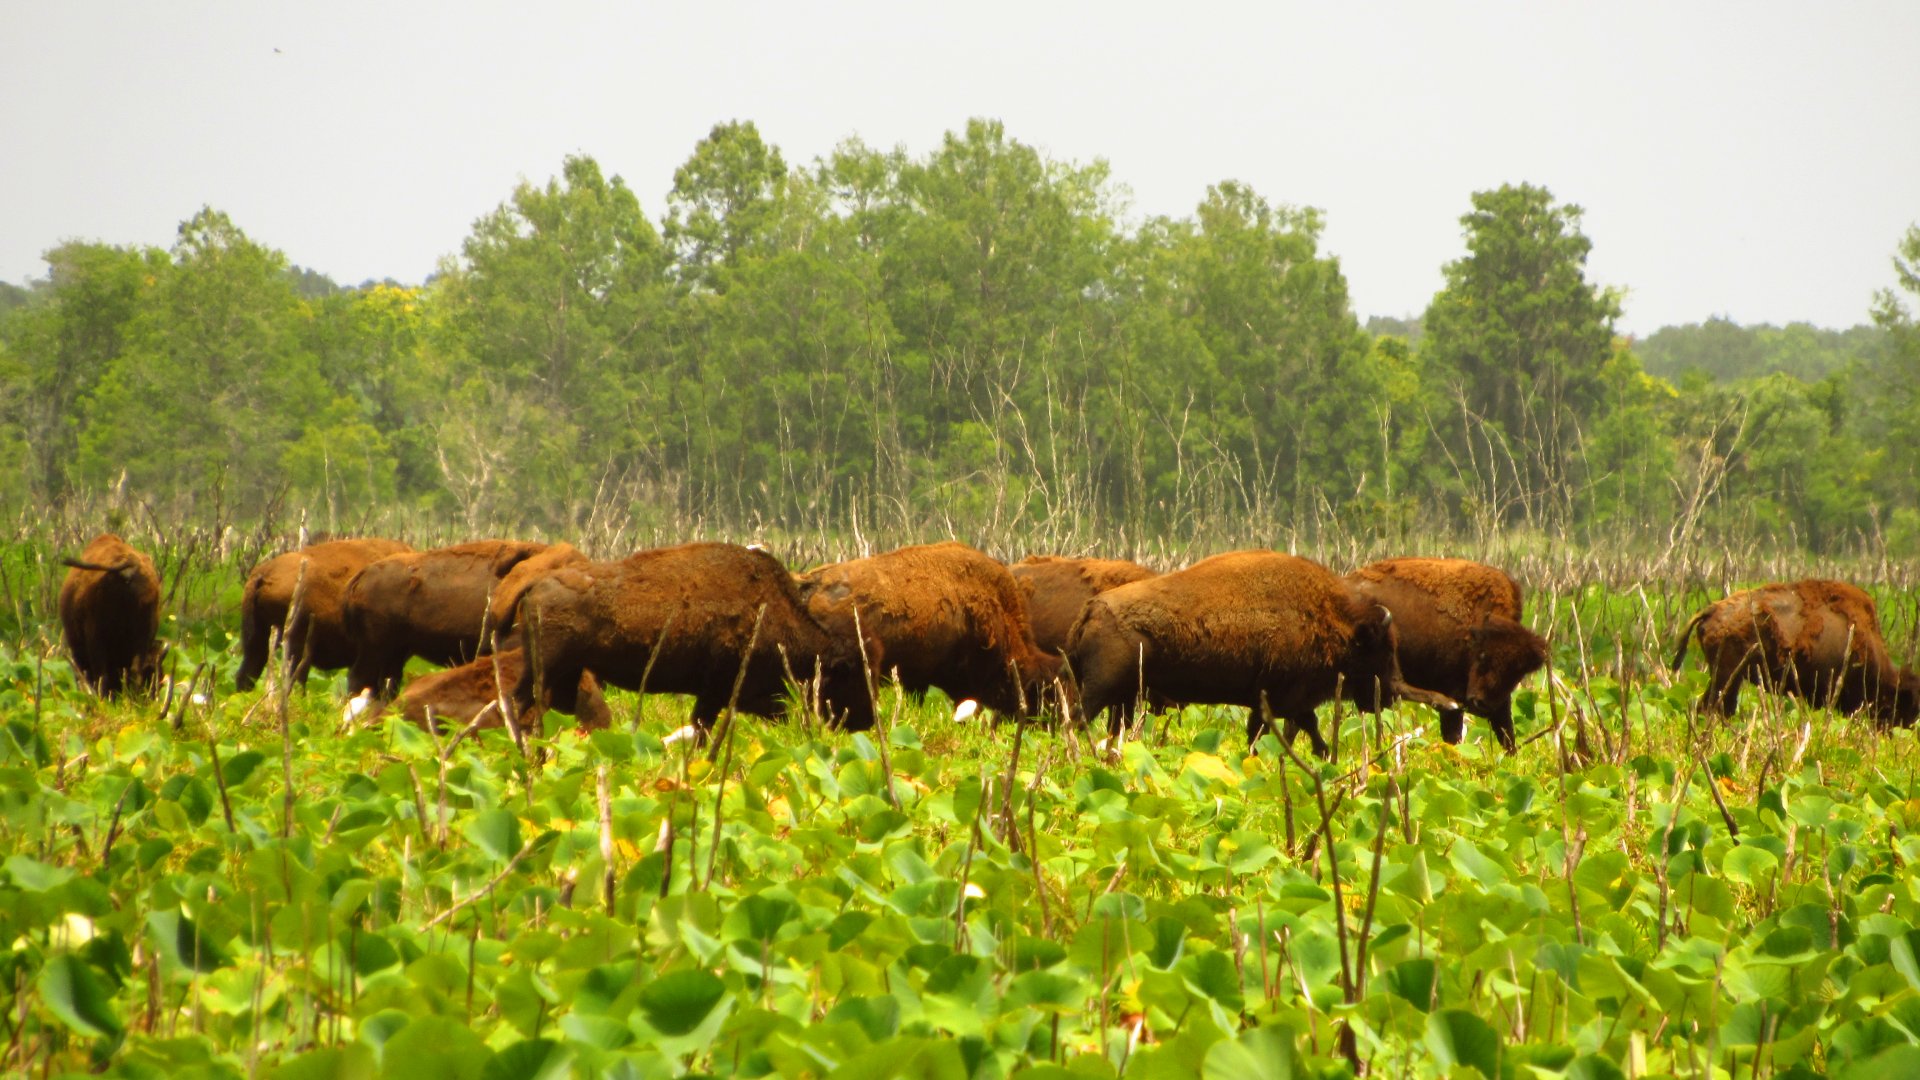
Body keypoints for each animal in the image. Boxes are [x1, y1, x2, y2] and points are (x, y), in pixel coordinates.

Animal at [510, 542, 878, 732]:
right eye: (852, 677)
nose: (867, 721)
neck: (770, 605)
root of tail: (534, 586)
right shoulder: (717, 692)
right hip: (543, 671)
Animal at [1066, 550, 1459, 755]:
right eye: (1382, 649)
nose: (1391, 693)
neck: (1331, 617)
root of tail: (1089, 610)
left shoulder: (1274, 702)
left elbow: (1291, 729)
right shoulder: (1283, 698)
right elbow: (1291, 727)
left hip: (1121, 697)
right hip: (1100, 691)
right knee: (1077, 719)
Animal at [1345, 557, 1549, 752]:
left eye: (1519, 672)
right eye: (1483, 656)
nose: (1481, 704)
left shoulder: (1501, 702)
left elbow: (1508, 736)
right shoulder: (1454, 695)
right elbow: (1453, 737)